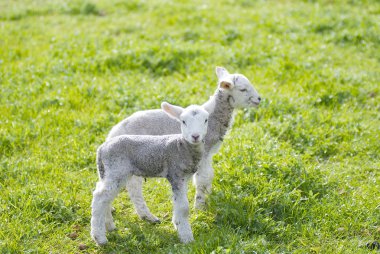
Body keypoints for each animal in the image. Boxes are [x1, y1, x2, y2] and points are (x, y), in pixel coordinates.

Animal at [91, 101, 209, 246]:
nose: (195, 136)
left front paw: (177, 225)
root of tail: (101, 148)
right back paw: (100, 238)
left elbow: (178, 204)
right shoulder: (176, 175)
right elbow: (183, 208)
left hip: (109, 173)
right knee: (100, 197)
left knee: (104, 196)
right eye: (183, 121)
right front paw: (187, 237)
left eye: (206, 120)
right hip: (116, 170)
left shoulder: (184, 177)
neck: (181, 146)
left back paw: (109, 226)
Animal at [107, 66, 262, 222]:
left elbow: (209, 176)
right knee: (134, 186)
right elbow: (202, 178)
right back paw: (148, 216)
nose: (259, 99)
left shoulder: (208, 154)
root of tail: (112, 134)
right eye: (243, 89)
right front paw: (200, 207)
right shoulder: (203, 152)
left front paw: (209, 197)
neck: (213, 117)